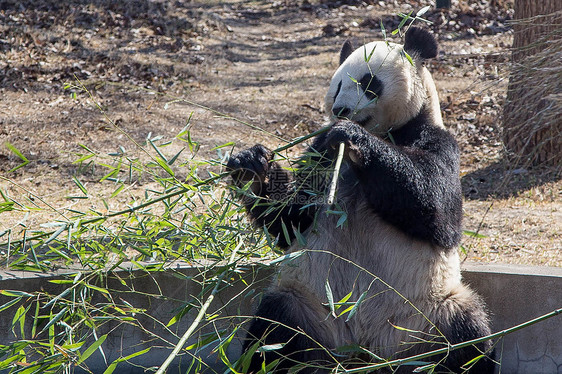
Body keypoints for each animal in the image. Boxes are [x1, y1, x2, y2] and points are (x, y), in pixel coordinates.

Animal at [225, 27, 492, 374]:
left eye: (369, 83)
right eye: (338, 84)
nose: (340, 111)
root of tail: (362, 353)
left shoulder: (435, 140)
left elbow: (438, 212)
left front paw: (353, 136)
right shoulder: (320, 154)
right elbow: (292, 219)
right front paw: (251, 167)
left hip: (430, 313)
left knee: (468, 338)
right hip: (305, 305)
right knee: (270, 334)